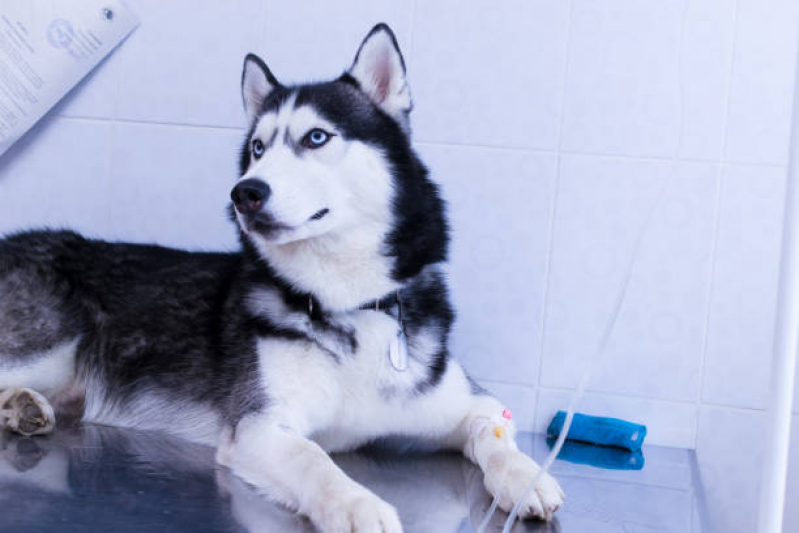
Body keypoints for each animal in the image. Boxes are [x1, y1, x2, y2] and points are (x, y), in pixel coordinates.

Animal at [0, 23, 564, 528]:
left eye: (316, 137)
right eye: (257, 148)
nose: (244, 192)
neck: (348, 303)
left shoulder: (470, 403)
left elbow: (493, 435)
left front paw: (525, 478)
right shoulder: (260, 427)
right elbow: (315, 461)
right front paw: (358, 505)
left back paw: (22, 408)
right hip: (53, 338)